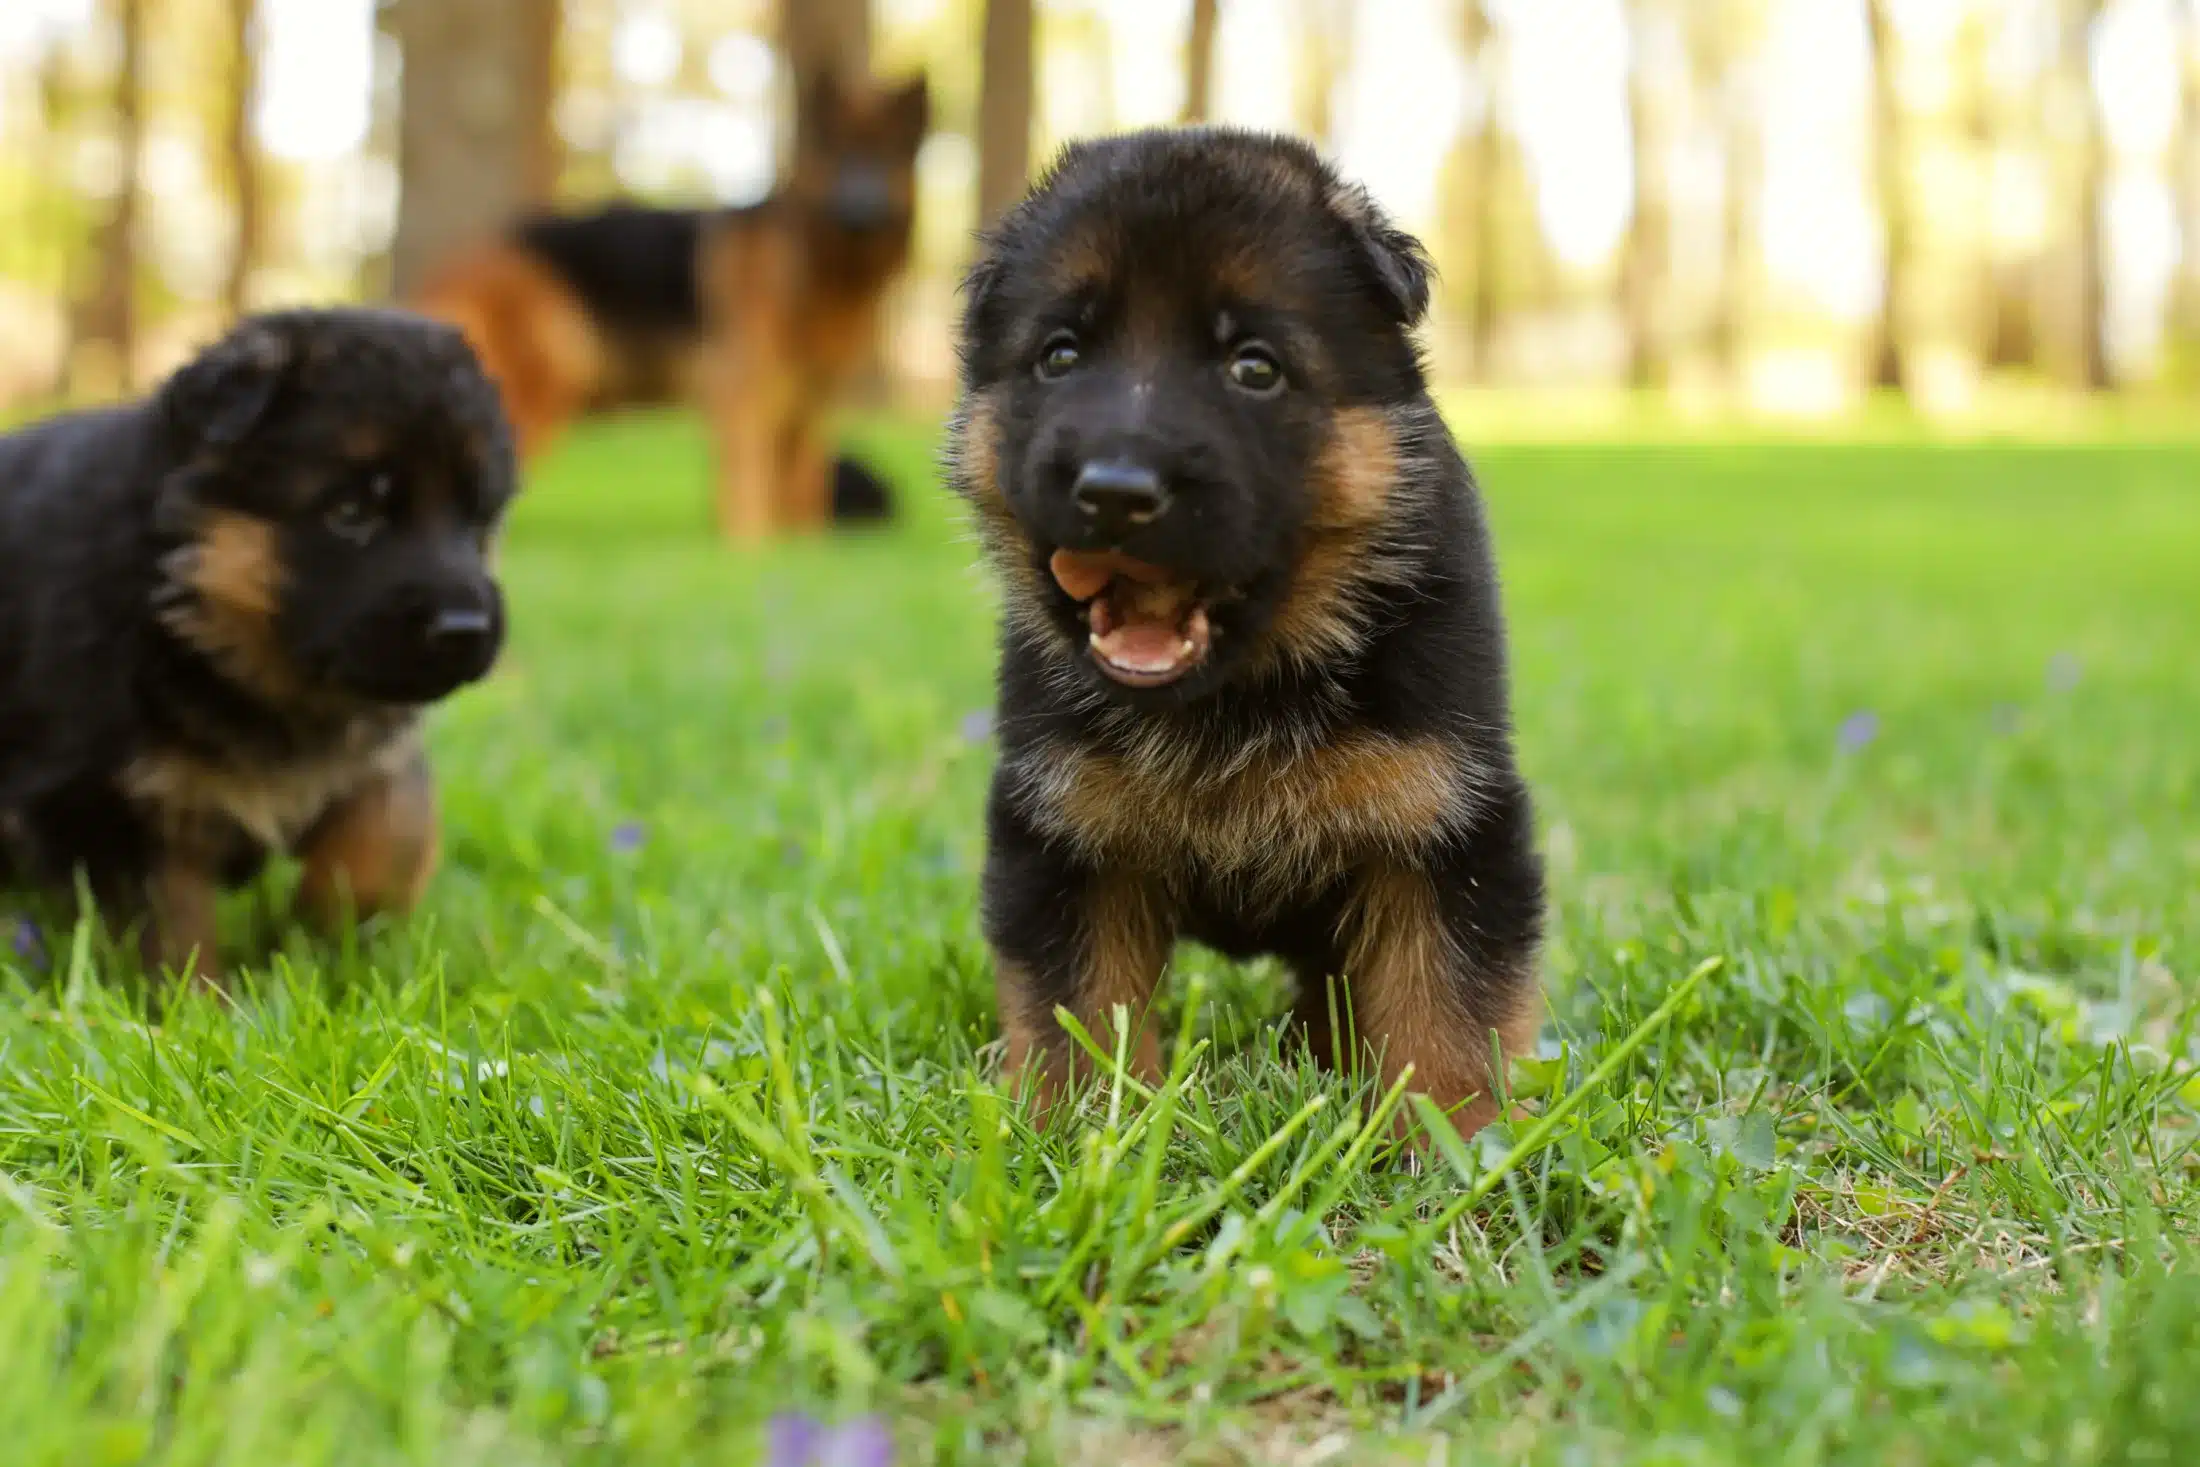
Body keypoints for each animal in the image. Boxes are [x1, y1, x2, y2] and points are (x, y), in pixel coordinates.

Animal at [0, 307, 510, 985]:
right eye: (352, 511)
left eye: (477, 519)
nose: (464, 629)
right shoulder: (108, 797)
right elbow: (170, 925)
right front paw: (195, 1004)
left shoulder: (376, 756)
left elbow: (389, 832)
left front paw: (325, 945)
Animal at [413, 68, 928, 538]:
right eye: (840, 156)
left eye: (886, 156)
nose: (860, 210)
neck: (811, 263)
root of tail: (454, 263)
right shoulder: (741, 392)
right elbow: (750, 484)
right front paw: (751, 553)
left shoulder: (812, 404)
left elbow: (803, 489)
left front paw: (805, 552)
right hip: (542, 382)